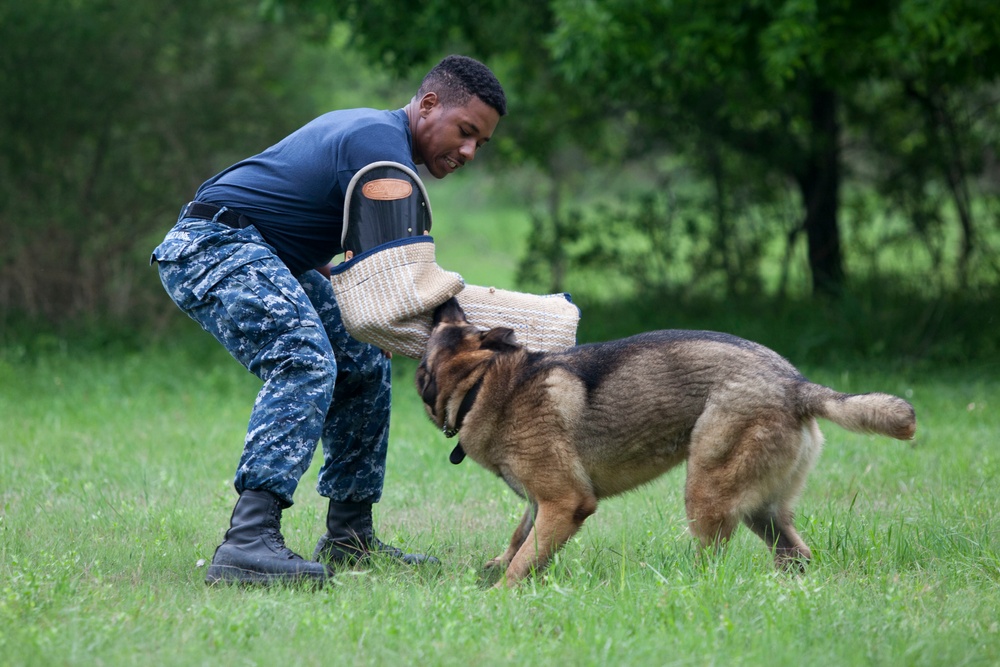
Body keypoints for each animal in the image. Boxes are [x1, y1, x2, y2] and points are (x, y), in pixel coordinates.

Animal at [414, 300, 916, 588]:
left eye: (422, 365)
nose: (446, 302)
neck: (485, 384)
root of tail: (797, 385)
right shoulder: (542, 504)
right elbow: (519, 540)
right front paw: (495, 569)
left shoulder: (565, 502)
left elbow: (523, 562)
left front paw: (499, 598)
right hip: (761, 510)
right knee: (796, 558)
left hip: (706, 493)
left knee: (713, 567)